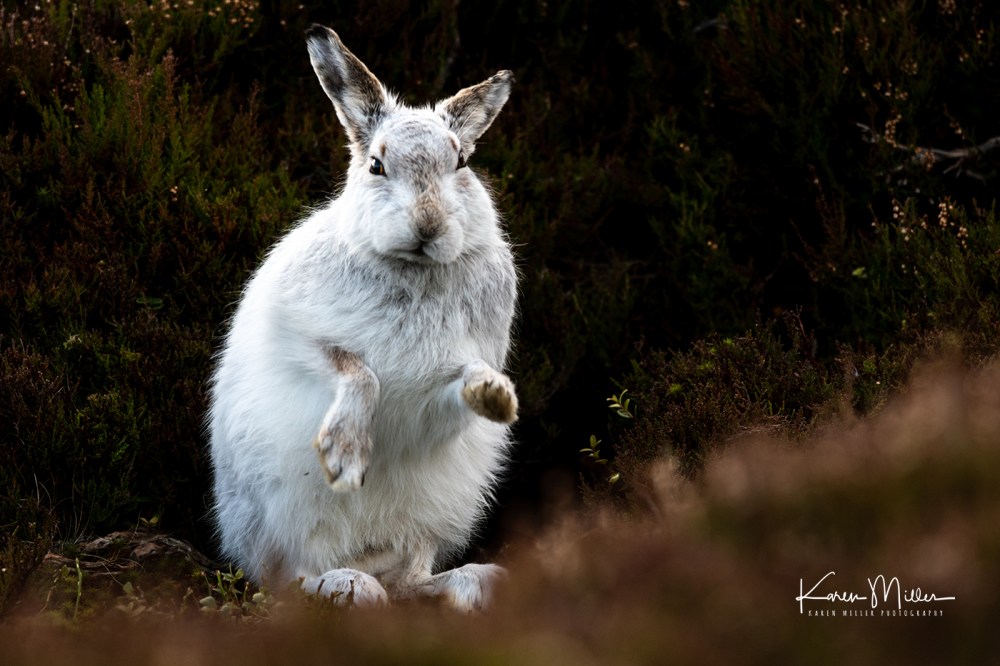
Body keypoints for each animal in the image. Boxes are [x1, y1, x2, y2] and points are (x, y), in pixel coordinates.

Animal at [206, 24, 518, 612]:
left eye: (462, 163)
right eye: (376, 165)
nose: (428, 225)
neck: (414, 268)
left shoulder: (438, 403)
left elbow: (461, 382)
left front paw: (494, 394)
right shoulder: (295, 336)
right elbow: (358, 370)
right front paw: (344, 454)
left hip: (423, 528)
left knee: (412, 577)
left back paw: (470, 583)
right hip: (284, 520)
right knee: (292, 578)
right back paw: (348, 586)